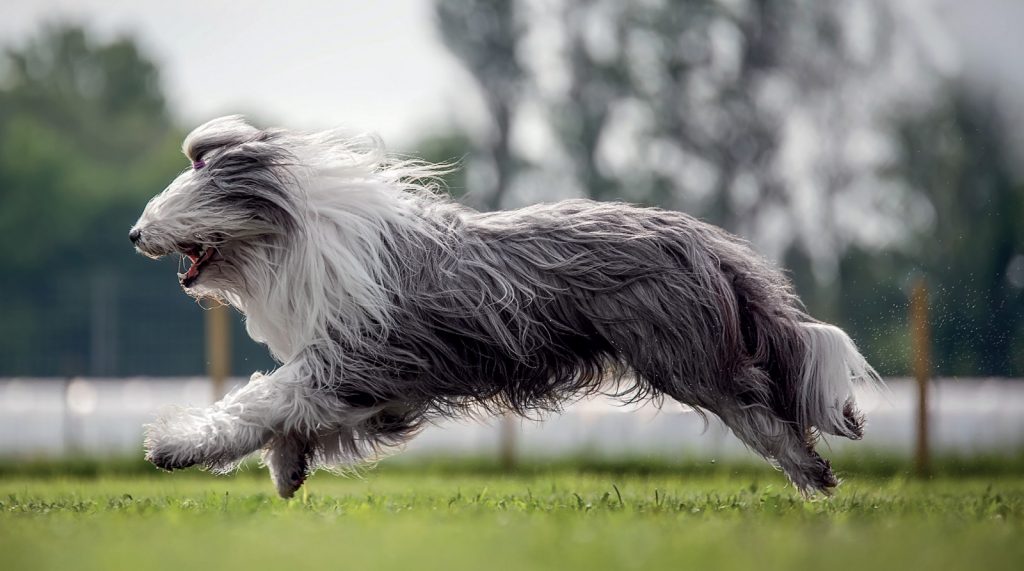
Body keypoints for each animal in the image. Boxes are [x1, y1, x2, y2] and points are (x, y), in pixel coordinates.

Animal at [128, 117, 880, 501]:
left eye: (178, 203)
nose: (135, 233)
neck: (298, 236)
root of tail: (704, 241)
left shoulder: (357, 358)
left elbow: (265, 397)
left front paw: (176, 446)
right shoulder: (387, 387)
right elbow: (306, 417)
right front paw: (288, 468)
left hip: (689, 356)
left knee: (764, 411)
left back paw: (814, 479)